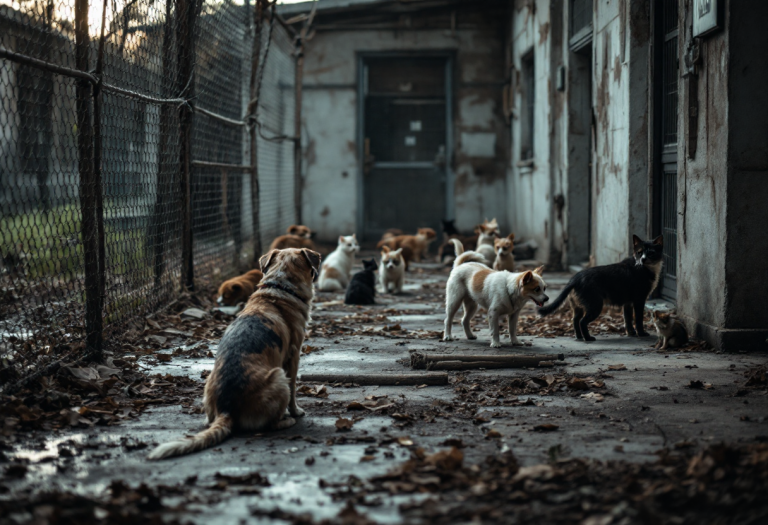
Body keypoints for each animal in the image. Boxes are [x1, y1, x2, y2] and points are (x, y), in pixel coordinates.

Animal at [148, 248, 320, 456]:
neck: (279, 287)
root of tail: (227, 410)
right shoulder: (293, 358)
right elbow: (294, 390)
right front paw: (296, 411)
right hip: (279, 377)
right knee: (270, 424)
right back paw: (288, 420)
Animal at [536, 235, 664, 342]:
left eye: (651, 253)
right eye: (639, 252)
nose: (643, 259)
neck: (645, 268)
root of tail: (575, 279)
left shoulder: (628, 303)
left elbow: (627, 319)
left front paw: (631, 333)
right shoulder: (639, 300)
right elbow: (638, 318)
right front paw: (641, 333)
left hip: (578, 306)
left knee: (575, 320)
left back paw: (579, 337)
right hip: (595, 305)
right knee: (582, 321)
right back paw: (588, 338)